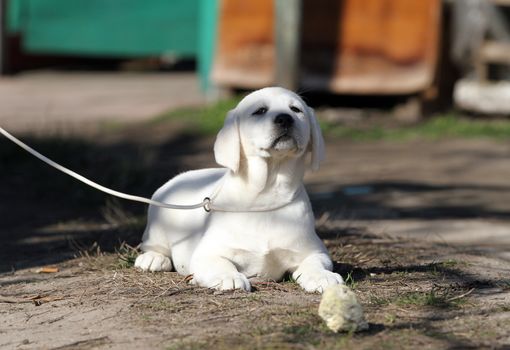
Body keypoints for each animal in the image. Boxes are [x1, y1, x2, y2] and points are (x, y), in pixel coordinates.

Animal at [133, 87, 344, 292]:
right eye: (260, 111)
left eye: (296, 109)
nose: (285, 118)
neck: (267, 194)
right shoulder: (207, 253)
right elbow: (221, 263)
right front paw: (228, 277)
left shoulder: (314, 250)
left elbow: (315, 262)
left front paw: (321, 276)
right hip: (157, 225)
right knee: (153, 246)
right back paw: (153, 258)